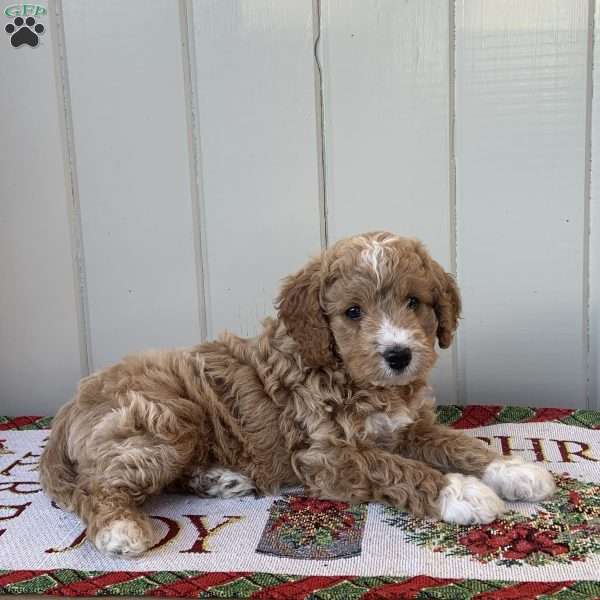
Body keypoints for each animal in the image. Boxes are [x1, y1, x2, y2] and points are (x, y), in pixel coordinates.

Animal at [39, 231, 556, 556]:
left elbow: (459, 443)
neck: (359, 381)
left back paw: (220, 480)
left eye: (414, 302)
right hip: (163, 420)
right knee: (97, 486)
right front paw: (461, 492)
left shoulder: (409, 427)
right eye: (352, 312)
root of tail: (68, 411)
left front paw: (513, 470)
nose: (398, 355)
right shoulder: (326, 456)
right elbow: (394, 467)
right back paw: (120, 526)